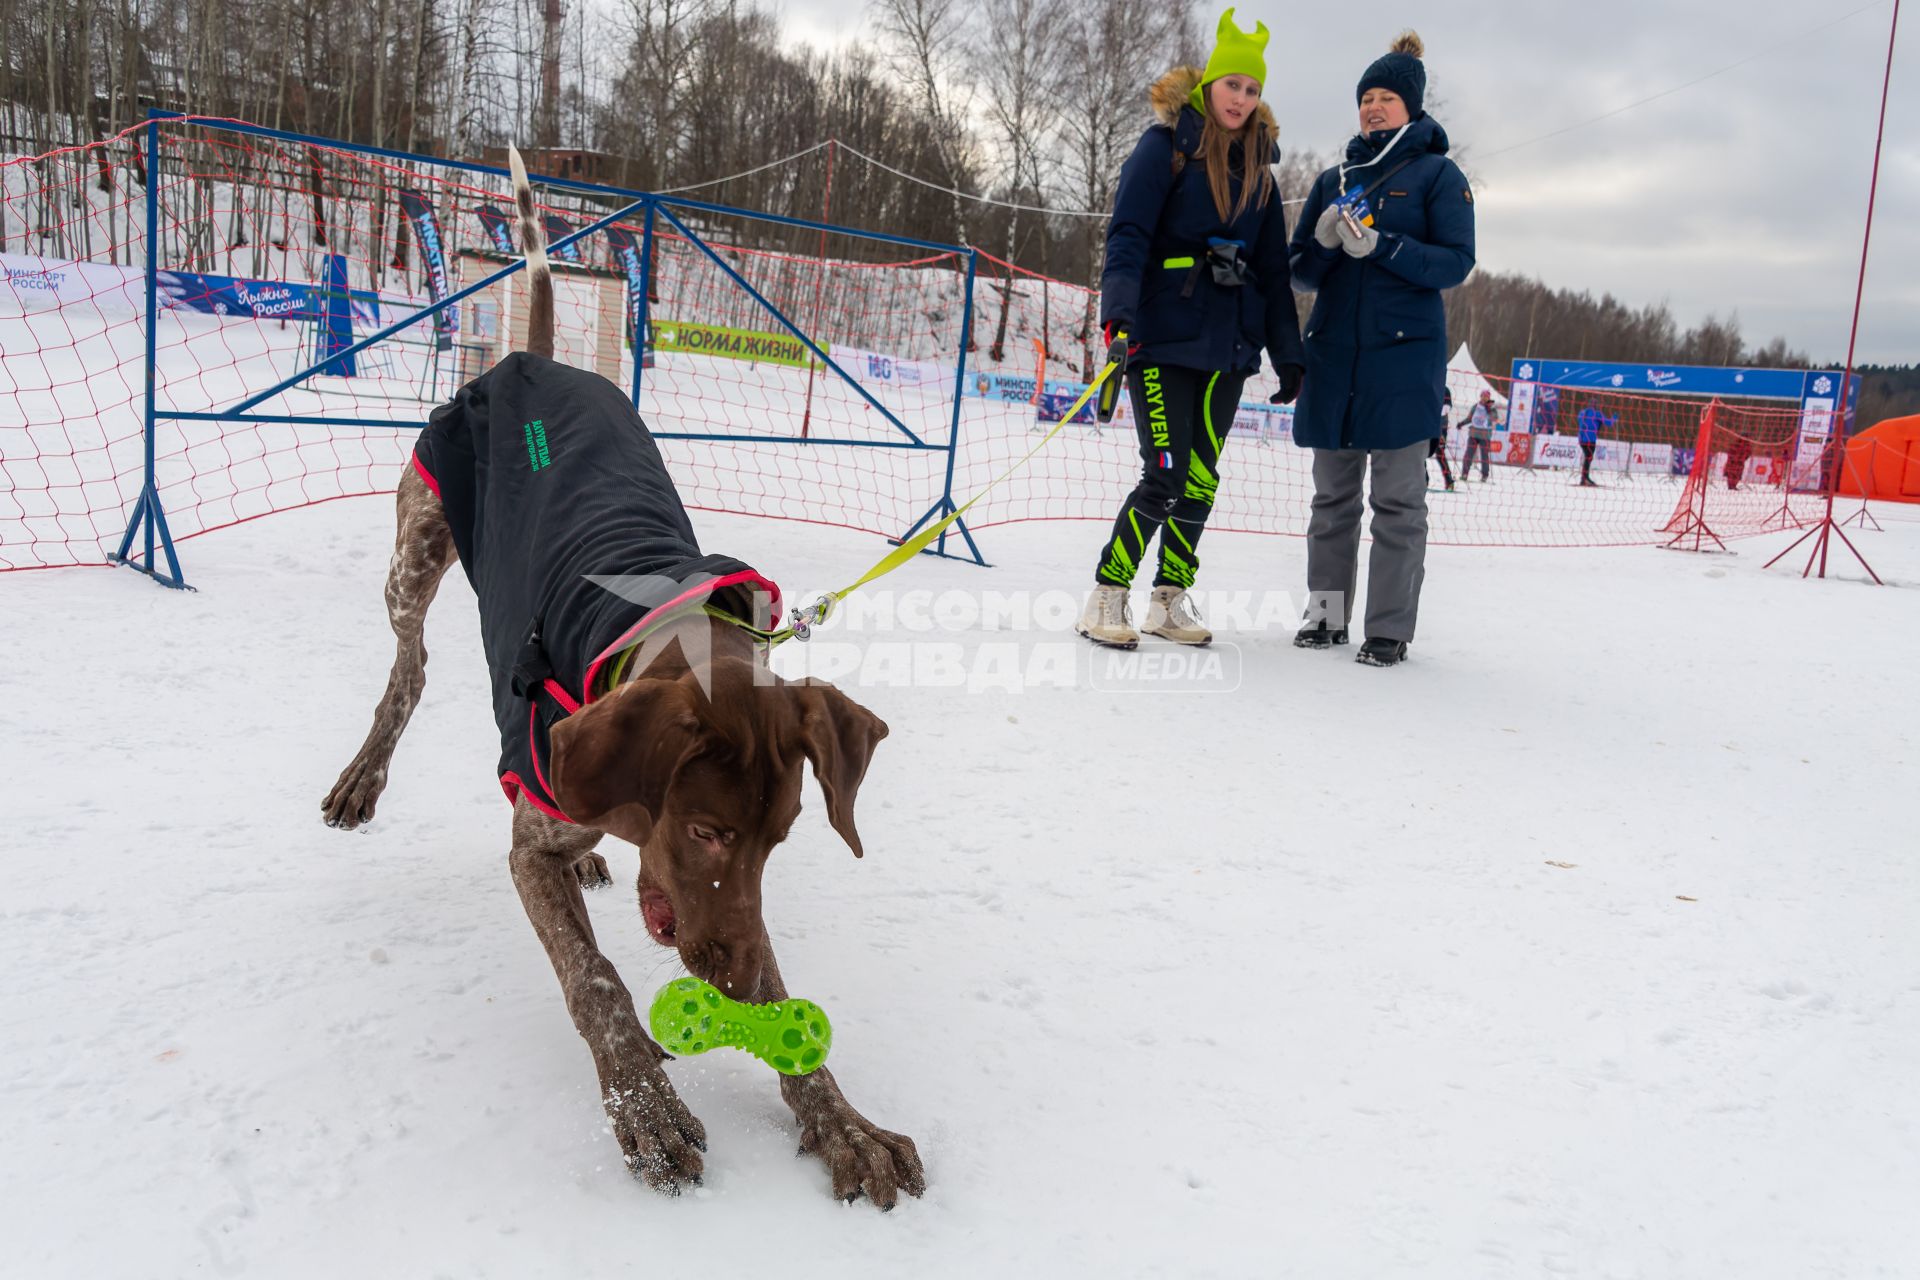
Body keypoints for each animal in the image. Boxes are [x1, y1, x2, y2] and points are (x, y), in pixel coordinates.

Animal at [318, 150, 925, 1212]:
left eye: (781, 837)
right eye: (707, 829)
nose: (730, 985)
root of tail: (532, 359)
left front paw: (844, 1122)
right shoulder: (535, 847)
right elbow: (594, 978)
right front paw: (644, 1103)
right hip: (416, 547)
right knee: (411, 666)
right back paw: (368, 773)